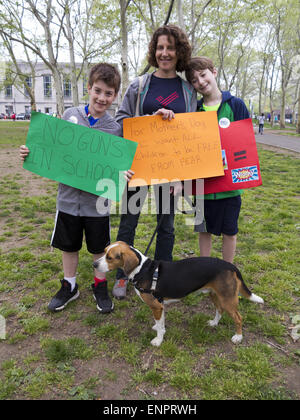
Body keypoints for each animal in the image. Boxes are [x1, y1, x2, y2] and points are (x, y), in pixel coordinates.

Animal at [93, 241, 262, 346]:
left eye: (110, 257)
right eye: (104, 252)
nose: (94, 264)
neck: (142, 269)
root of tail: (231, 266)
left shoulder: (156, 306)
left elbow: (160, 326)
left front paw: (158, 341)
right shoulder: (159, 307)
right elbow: (160, 323)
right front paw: (157, 328)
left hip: (228, 299)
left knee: (238, 318)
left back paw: (238, 337)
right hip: (214, 294)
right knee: (219, 310)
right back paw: (214, 323)